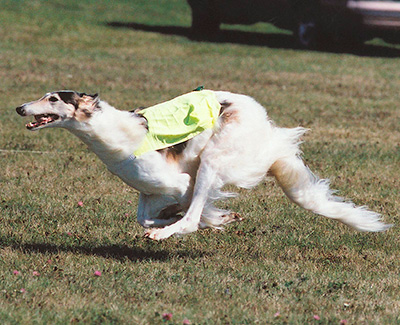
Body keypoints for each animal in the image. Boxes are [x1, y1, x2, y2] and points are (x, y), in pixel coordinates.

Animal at [17, 90, 392, 239]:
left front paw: (206, 220)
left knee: (191, 217)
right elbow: (143, 216)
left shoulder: (180, 182)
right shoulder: (147, 190)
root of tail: (263, 121)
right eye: (44, 95)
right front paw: (212, 218)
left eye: (53, 98)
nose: (20, 107)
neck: (116, 135)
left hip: (213, 158)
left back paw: (168, 232)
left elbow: (192, 211)